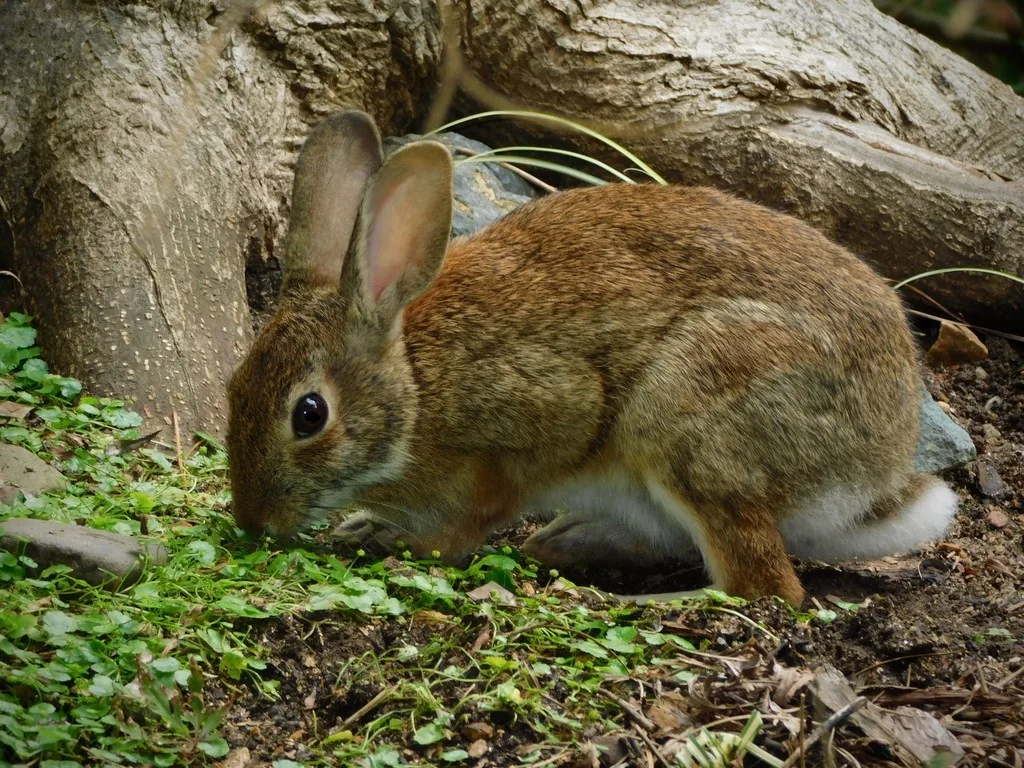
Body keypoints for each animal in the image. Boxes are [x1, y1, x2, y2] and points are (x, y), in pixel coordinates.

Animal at [226, 110, 959, 606]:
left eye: (309, 414)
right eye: (234, 388)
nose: (252, 521)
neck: (413, 382)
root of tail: (877, 474)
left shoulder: (535, 425)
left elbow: (479, 513)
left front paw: (400, 545)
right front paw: (362, 525)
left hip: (691, 418)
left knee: (764, 587)